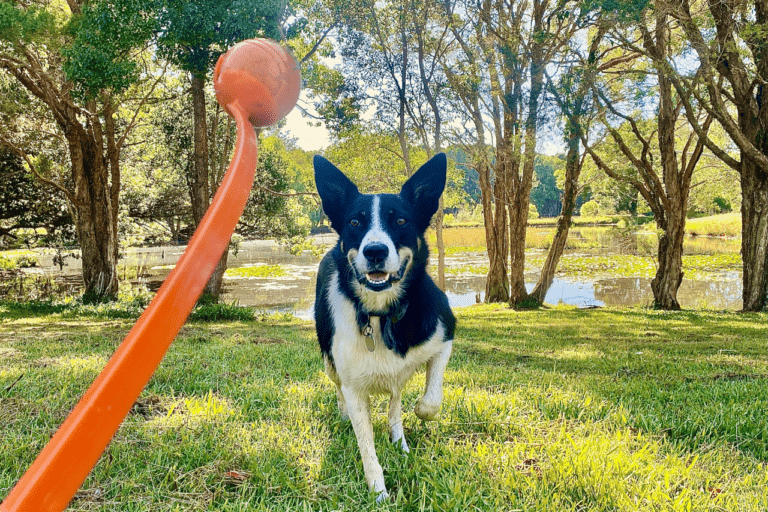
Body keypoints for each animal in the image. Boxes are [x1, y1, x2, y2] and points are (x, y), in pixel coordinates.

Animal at [314, 153, 456, 504]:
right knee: (339, 389)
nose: (375, 251)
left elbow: (431, 402)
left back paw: (399, 440)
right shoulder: (353, 386)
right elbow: (366, 445)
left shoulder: (444, 334)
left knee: (395, 400)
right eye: (355, 223)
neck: (381, 314)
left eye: (401, 221)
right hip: (328, 361)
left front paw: (416, 415)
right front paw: (378, 490)